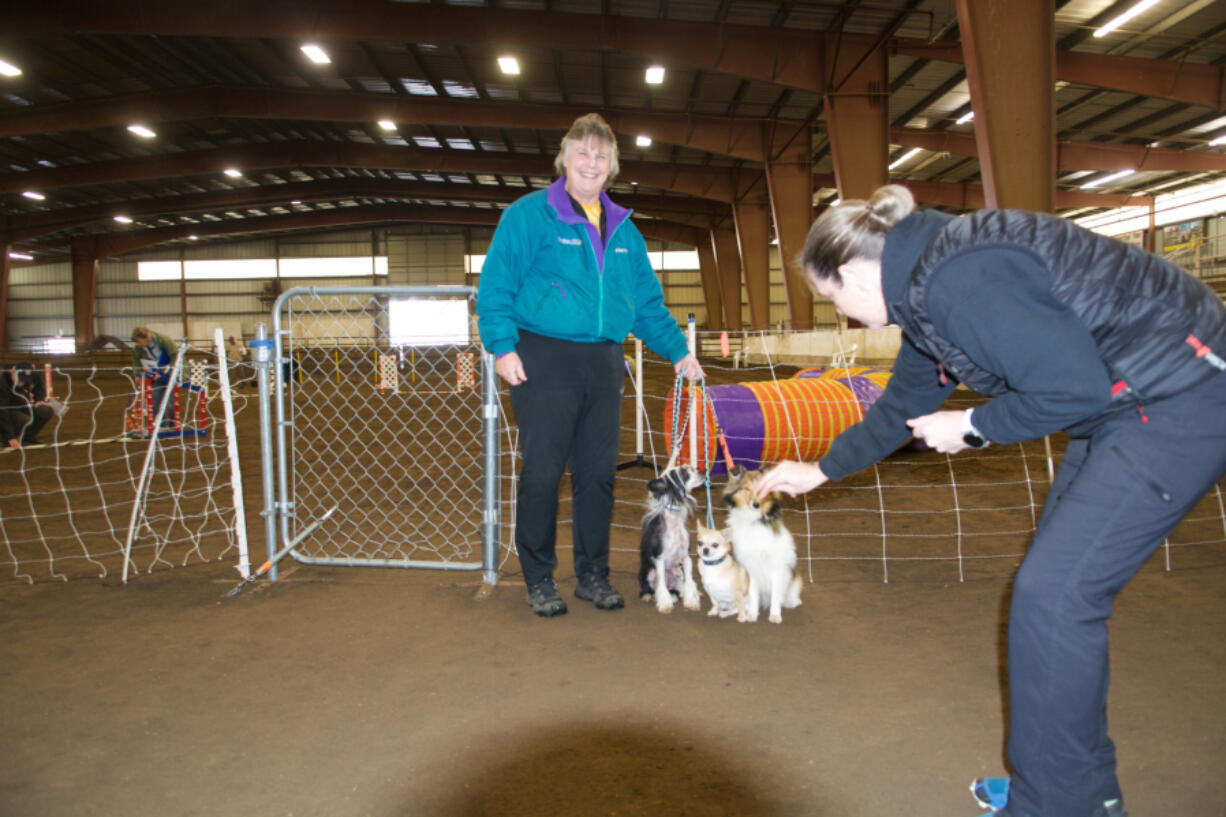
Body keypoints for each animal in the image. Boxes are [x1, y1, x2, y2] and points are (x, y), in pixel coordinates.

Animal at [637, 463, 706, 610]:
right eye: (684, 473)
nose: (702, 471)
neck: (673, 522)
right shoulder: (659, 559)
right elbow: (661, 584)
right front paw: (665, 604)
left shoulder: (686, 557)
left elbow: (690, 581)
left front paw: (691, 601)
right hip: (649, 573)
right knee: (651, 589)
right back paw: (648, 596)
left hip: (678, 572)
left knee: (679, 587)